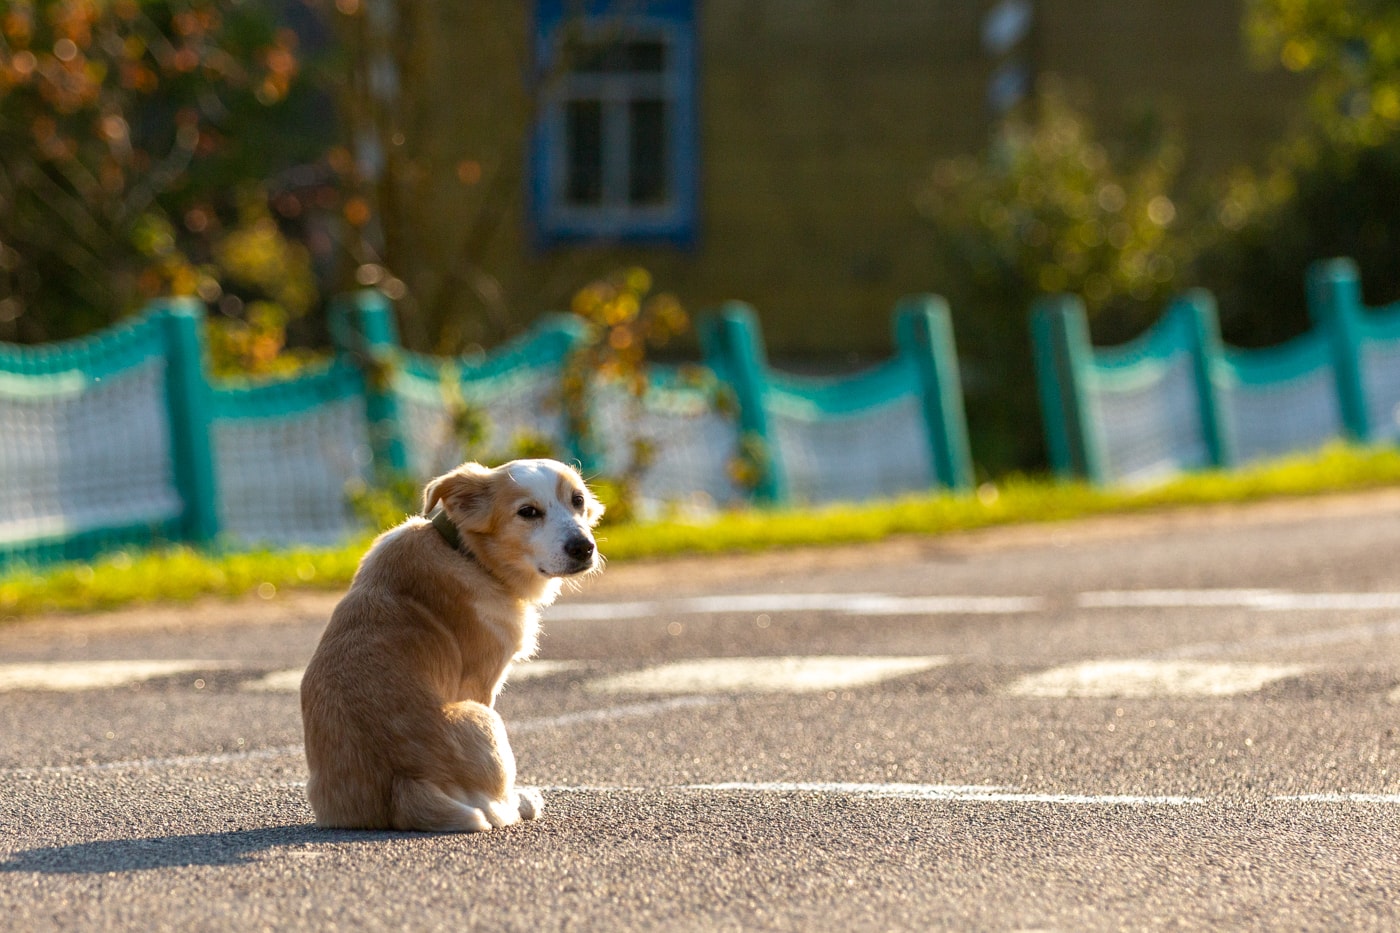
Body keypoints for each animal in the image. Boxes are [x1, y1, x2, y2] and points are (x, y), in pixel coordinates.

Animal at [298, 456, 604, 829]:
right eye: (528, 512)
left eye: (578, 500)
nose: (583, 548)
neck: (468, 553)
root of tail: (404, 783)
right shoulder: (481, 683)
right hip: (486, 723)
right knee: (495, 810)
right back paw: (523, 801)